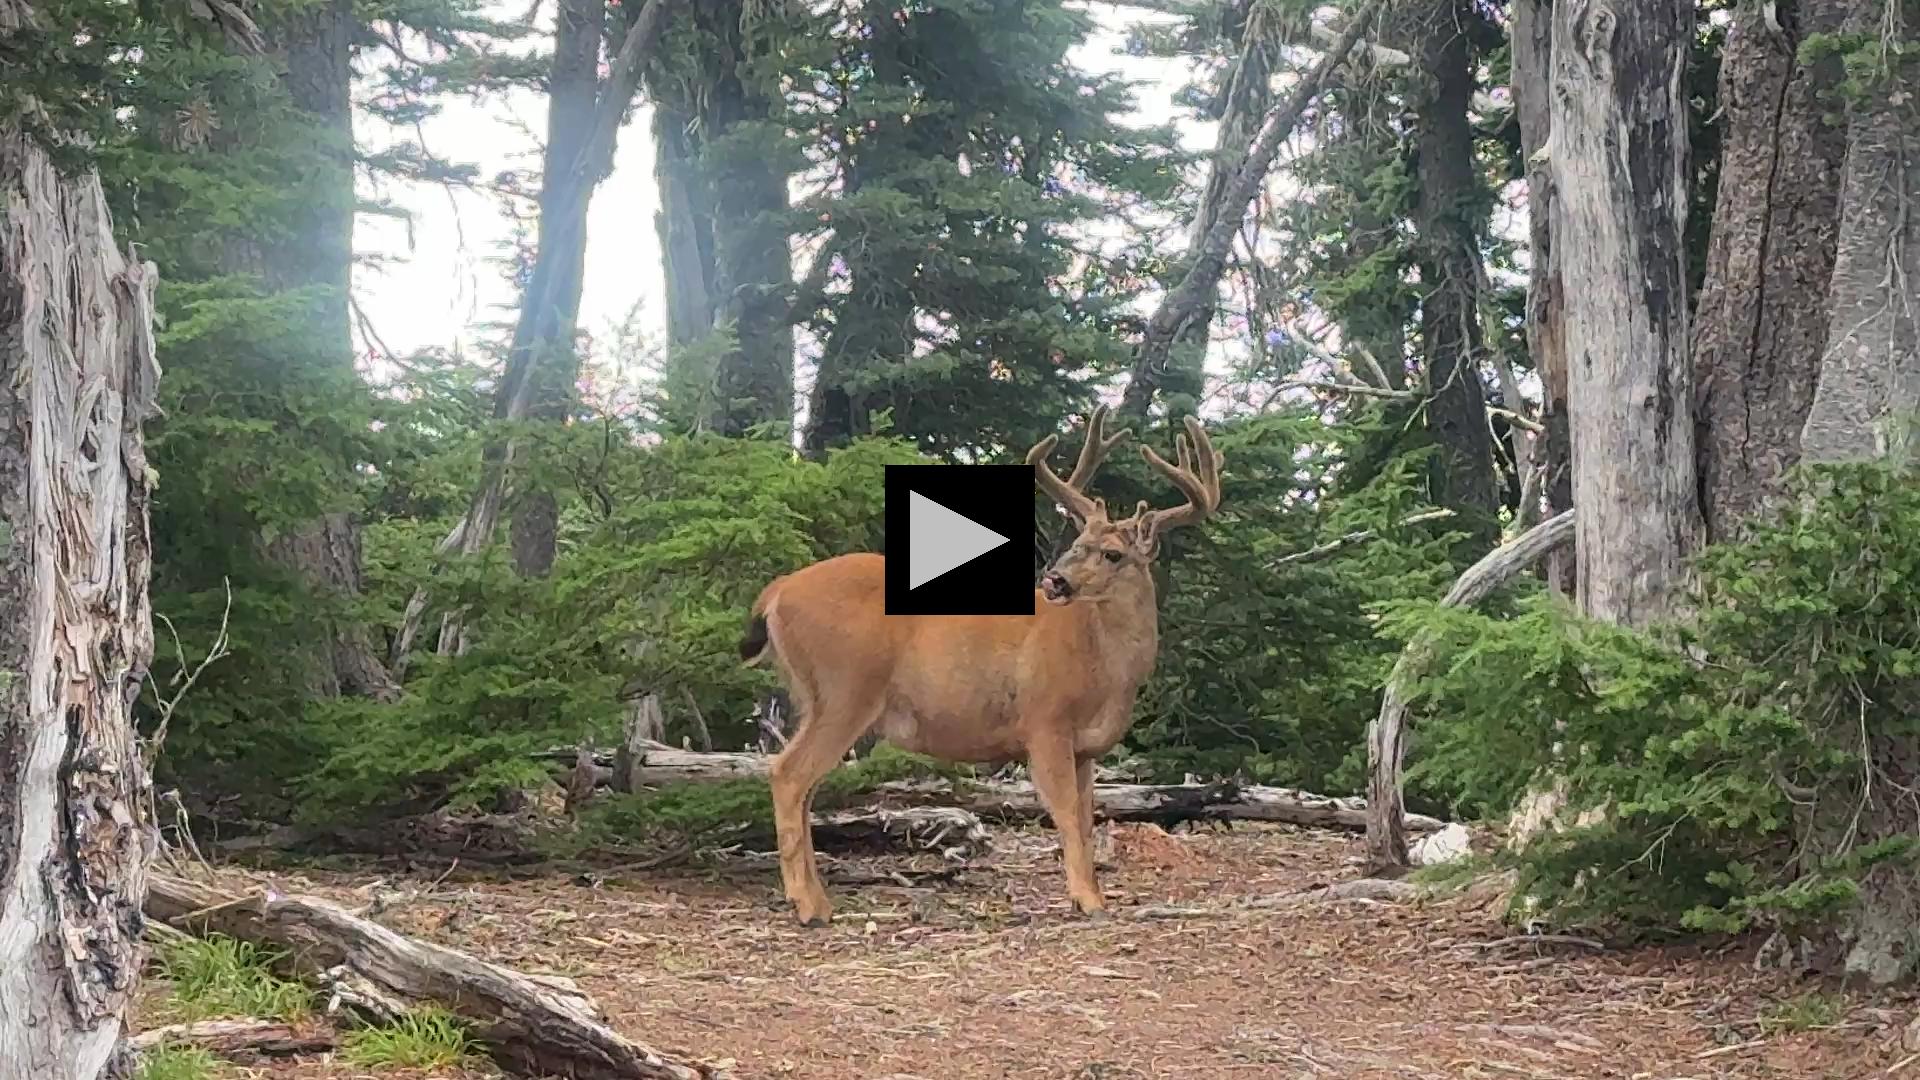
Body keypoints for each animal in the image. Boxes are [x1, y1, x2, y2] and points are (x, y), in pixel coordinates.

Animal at [738, 406, 1224, 924]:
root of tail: (777, 592)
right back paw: (809, 906)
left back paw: (818, 897)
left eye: (1113, 553)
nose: (1055, 579)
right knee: (788, 774)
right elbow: (1066, 814)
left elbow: (1088, 818)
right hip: (845, 687)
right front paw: (1087, 900)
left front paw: (1092, 892)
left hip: (815, 694)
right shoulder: (1044, 720)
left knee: (803, 784)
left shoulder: (1085, 748)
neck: (1107, 671)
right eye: (1078, 541)